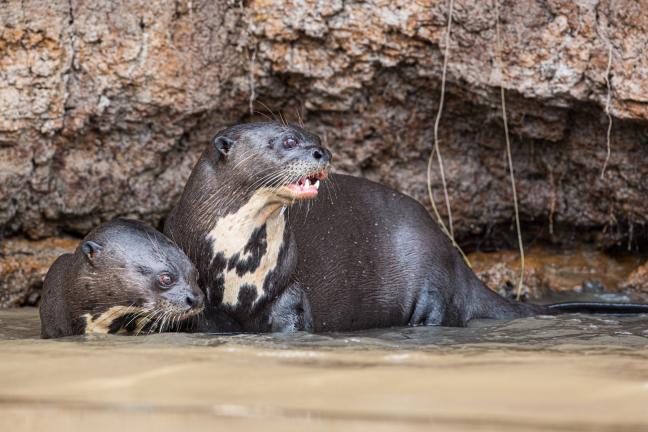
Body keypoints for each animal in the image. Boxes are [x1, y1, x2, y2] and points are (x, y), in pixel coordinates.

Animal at [165, 123, 648, 332]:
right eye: (287, 140)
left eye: (312, 135)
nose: (322, 152)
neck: (237, 261)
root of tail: (457, 259)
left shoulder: (289, 293)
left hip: (433, 281)